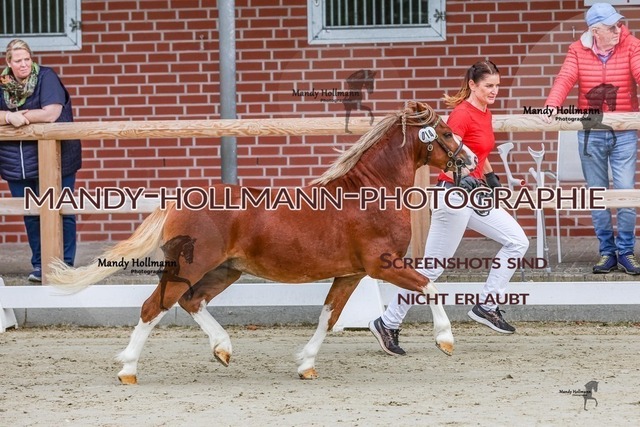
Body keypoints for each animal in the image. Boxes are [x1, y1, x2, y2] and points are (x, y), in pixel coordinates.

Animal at [47, 101, 478, 384]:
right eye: (445, 132)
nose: (471, 161)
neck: (369, 194)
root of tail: (179, 200)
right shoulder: (382, 264)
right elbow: (431, 287)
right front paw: (445, 340)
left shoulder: (351, 274)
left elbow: (328, 317)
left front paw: (306, 365)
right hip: (191, 266)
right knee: (155, 307)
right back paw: (128, 369)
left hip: (226, 271)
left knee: (190, 302)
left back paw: (222, 349)